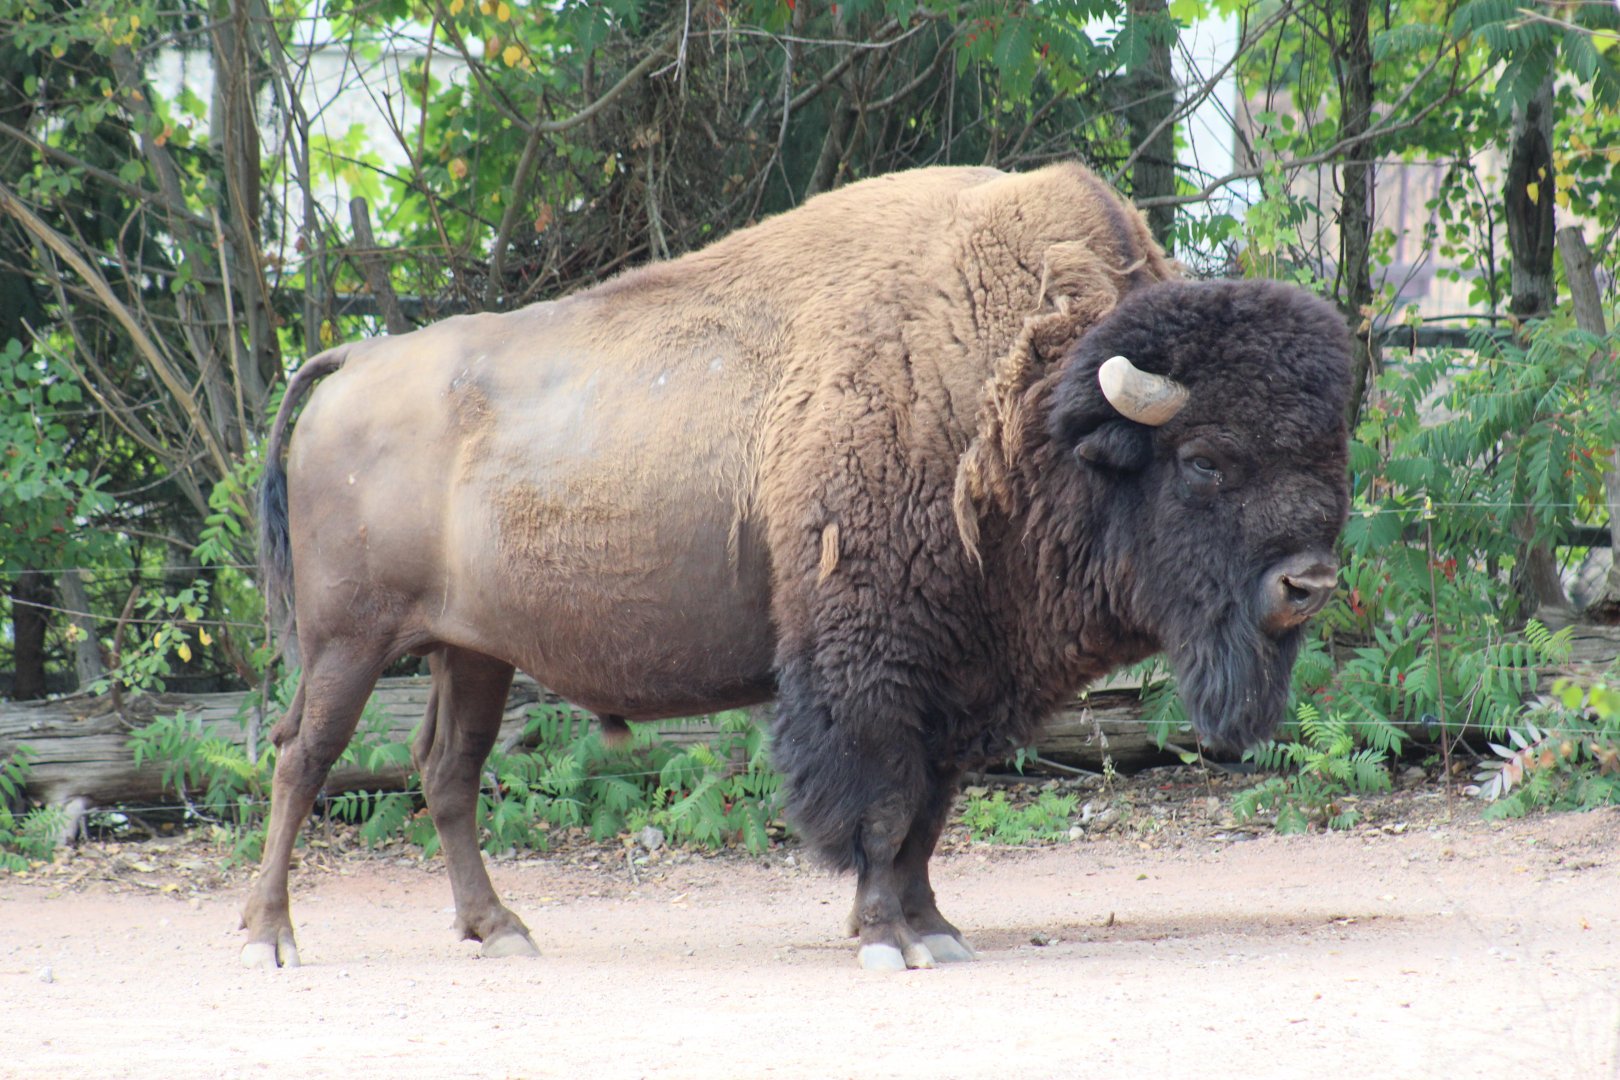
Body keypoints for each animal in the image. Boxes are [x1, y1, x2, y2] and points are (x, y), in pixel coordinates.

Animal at [241, 162, 1350, 972]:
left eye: (1333, 453)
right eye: (1205, 461)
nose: (1308, 584)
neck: (1029, 400)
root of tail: (355, 359)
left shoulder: (958, 678)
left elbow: (928, 814)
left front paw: (934, 930)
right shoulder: (869, 671)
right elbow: (883, 806)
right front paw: (887, 941)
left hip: (470, 651)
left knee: (447, 771)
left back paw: (501, 931)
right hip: (348, 643)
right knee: (303, 758)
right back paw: (271, 938)